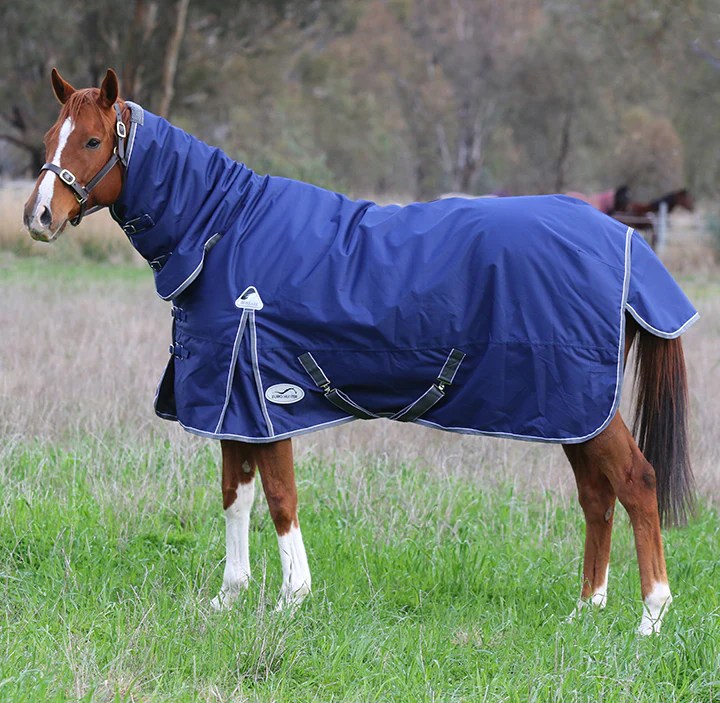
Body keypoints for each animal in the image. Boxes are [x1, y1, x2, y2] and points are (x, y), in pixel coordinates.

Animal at [24, 69, 699, 635]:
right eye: (50, 136)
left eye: (91, 141)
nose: (38, 217)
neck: (222, 231)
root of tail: (624, 239)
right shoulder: (230, 402)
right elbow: (235, 498)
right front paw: (228, 597)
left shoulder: (266, 400)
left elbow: (280, 498)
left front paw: (291, 598)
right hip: (573, 411)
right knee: (596, 496)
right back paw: (584, 610)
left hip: (585, 406)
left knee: (637, 483)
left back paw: (650, 617)